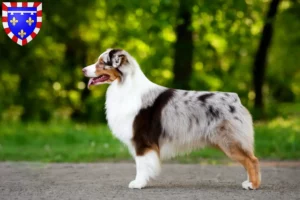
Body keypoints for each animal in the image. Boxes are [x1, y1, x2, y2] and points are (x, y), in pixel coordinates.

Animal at [82, 48, 260, 189]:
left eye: (101, 62)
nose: (83, 70)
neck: (124, 85)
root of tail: (235, 99)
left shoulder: (142, 140)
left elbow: (141, 164)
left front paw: (138, 183)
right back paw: (248, 182)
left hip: (229, 141)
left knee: (252, 160)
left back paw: (252, 185)